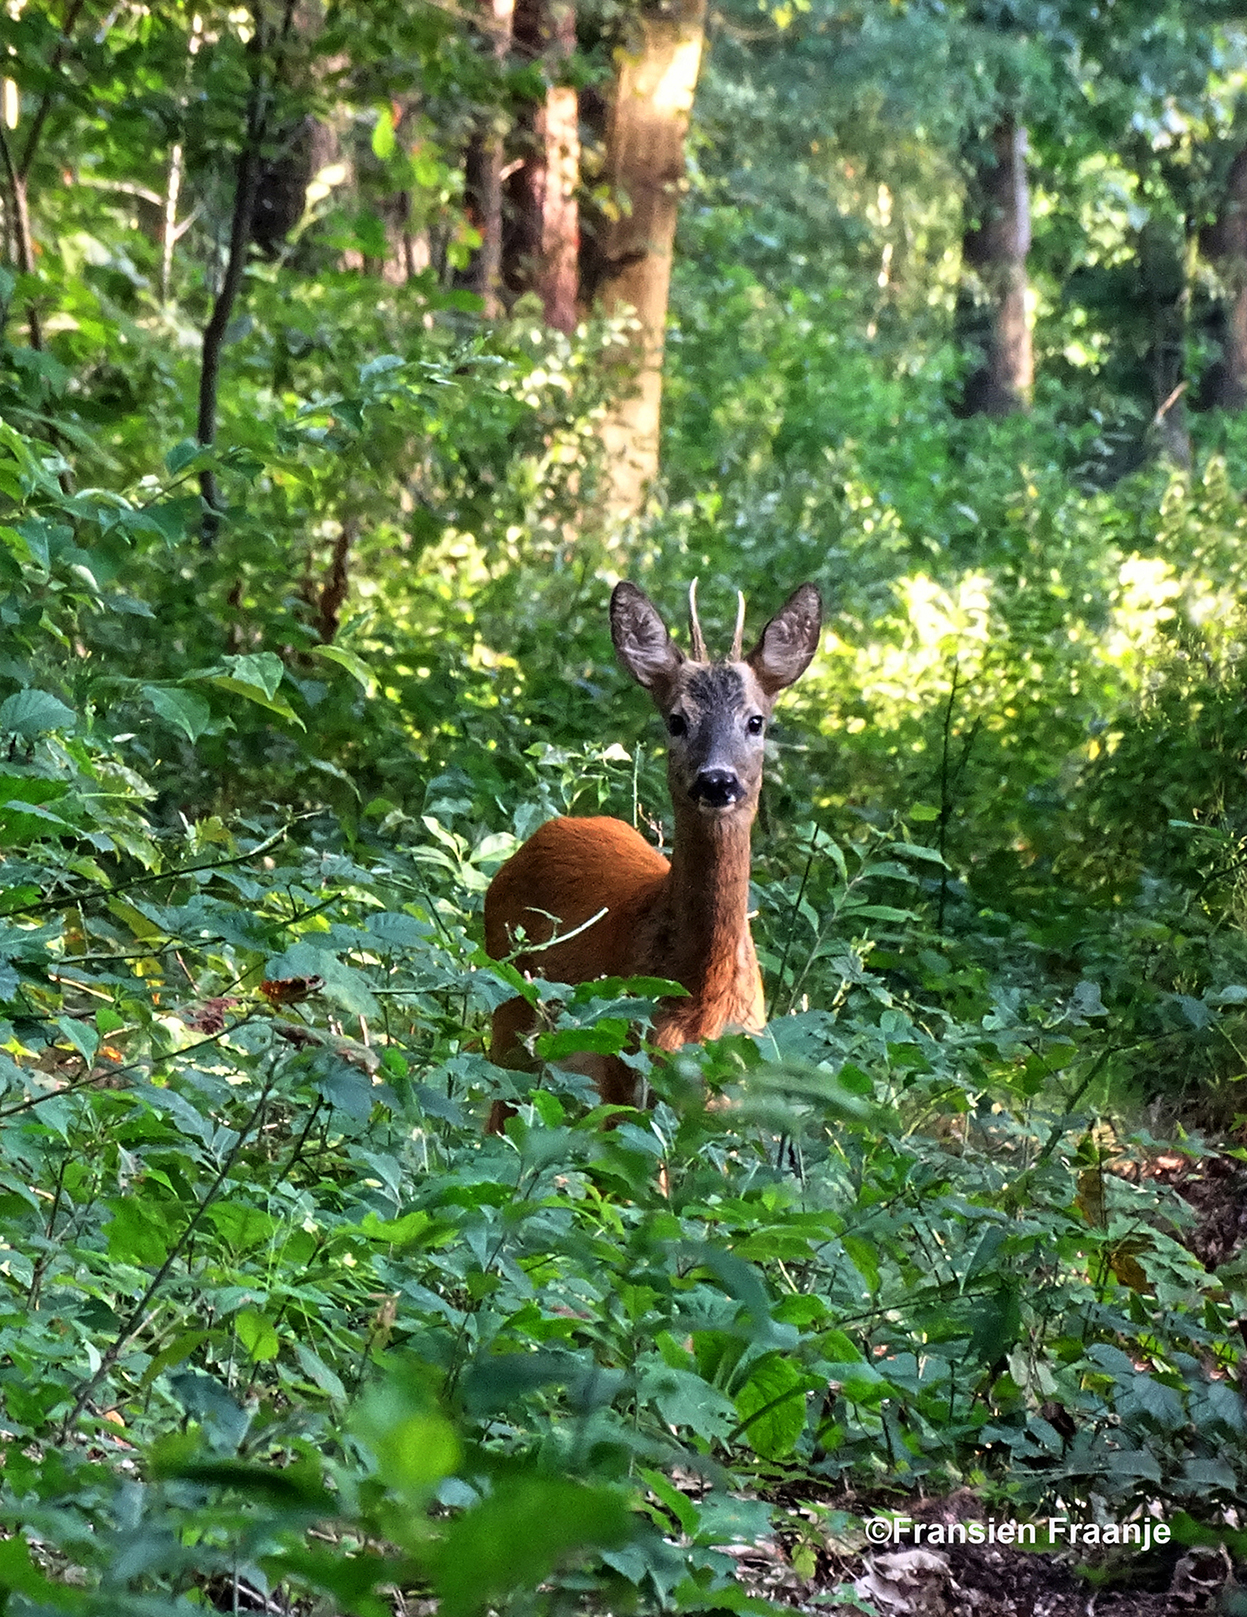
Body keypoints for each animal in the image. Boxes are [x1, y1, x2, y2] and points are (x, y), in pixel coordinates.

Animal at [485, 578, 818, 1125]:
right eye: (677, 720)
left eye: (756, 721)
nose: (717, 781)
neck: (699, 997)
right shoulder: (625, 1066)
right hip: (510, 1002)